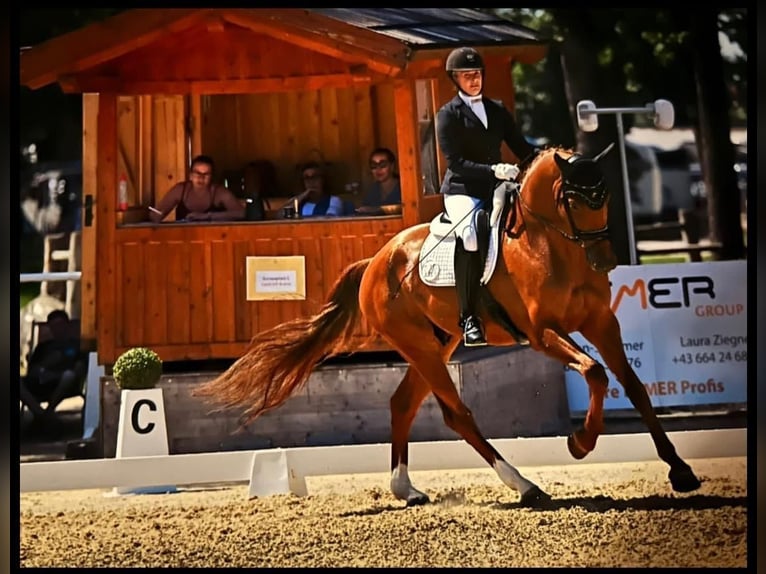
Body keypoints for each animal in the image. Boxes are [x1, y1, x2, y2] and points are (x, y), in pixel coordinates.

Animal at [196, 148, 704, 508]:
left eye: (606, 197)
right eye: (573, 200)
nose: (604, 260)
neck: (551, 247)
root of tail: (376, 260)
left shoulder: (600, 322)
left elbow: (634, 386)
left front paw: (680, 470)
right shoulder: (541, 334)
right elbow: (596, 374)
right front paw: (580, 442)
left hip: (436, 344)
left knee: (402, 404)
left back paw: (407, 490)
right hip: (421, 348)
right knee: (456, 414)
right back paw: (525, 486)